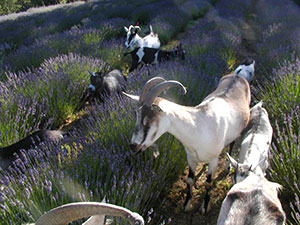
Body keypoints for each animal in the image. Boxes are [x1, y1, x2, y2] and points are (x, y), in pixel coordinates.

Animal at [122, 72, 251, 214]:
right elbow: (189, 180)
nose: (133, 146)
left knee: (232, 144)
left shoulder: (214, 160)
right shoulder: (191, 158)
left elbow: (208, 182)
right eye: (137, 116)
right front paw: (186, 205)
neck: (199, 125)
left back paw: (228, 166)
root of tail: (237, 76)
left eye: (148, 120)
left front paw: (204, 207)